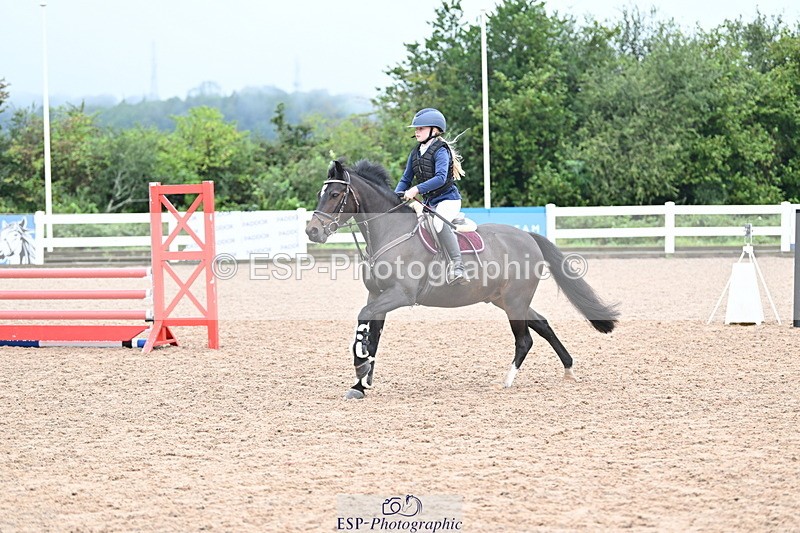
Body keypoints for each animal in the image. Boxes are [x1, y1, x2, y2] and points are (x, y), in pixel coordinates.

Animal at [306, 160, 619, 399]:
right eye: (322, 193)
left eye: (335, 194)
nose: (312, 231)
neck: (390, 231)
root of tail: (528, 237)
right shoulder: (377, 296)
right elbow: (372, 337)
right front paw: (361, 383)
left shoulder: (399, 296)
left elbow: (364, 319)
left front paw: (360, 367)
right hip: (506, 300)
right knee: (542, 324)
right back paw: (568, 369)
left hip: (514, 302)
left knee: (525, 339)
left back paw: (507, 381)